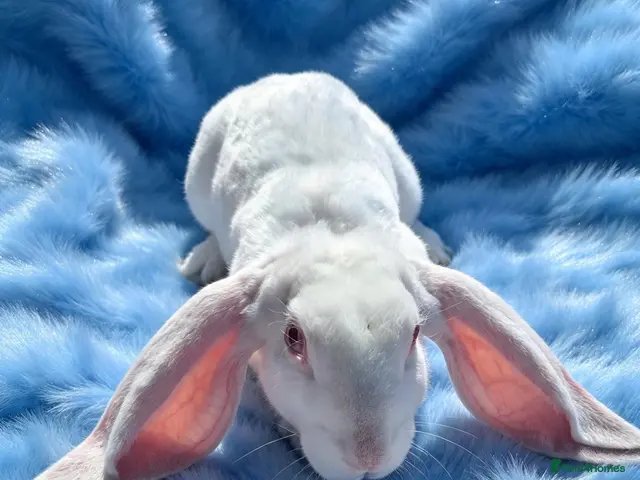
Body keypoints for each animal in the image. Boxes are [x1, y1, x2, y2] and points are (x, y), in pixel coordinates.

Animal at [37, 72, 640, 480]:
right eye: (293, 339)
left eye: (415, 335)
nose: (366, 458)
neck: (335, 236)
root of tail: (284, 78)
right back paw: (201, 261)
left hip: (405, 172)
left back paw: (438, 245)